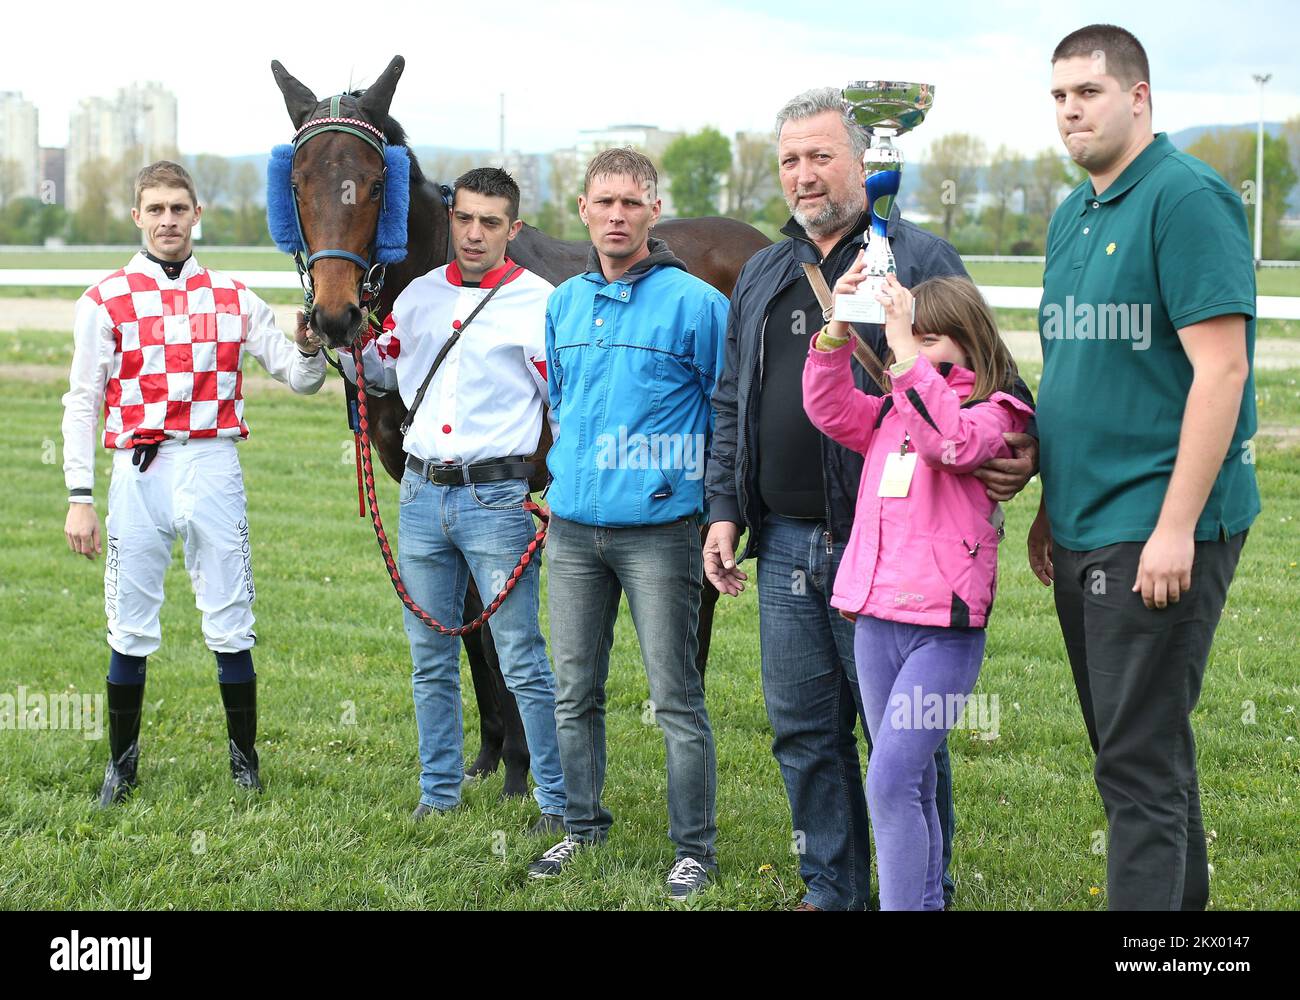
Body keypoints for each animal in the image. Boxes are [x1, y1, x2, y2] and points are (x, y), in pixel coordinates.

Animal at [269, 54, 764, 801]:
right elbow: (470, 621)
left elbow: (503, 624)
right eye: (298, 184)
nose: (332, 315)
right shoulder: (436, 485)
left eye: (377, 183)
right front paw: (490, 753)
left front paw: (524, 766)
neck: (459, 283)